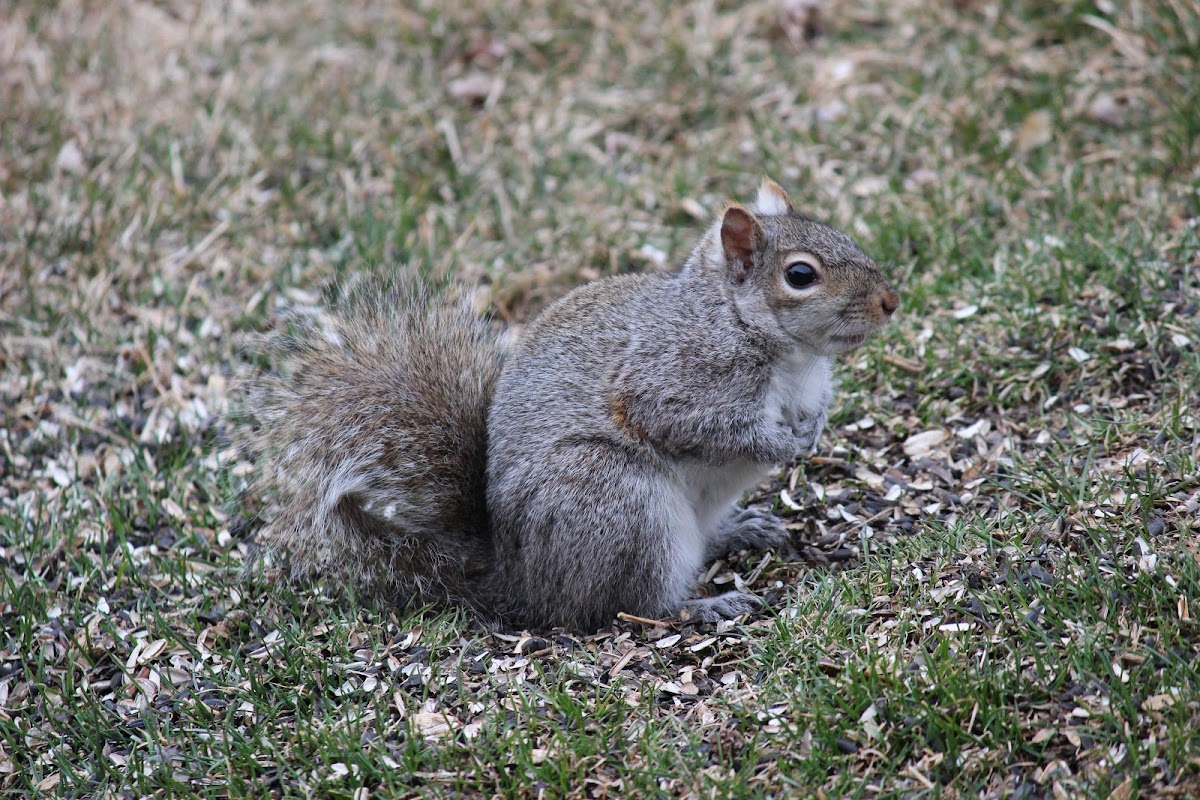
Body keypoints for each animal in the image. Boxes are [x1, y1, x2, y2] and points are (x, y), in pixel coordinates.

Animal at [234, 179, 897, 633]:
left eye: (846, 236)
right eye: (801, 275)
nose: (890, 301)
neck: (783, 353)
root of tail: (521, 580)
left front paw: (813, 428)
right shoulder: (673, 379)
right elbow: (700, 425)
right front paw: (781, 443)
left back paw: (744, 529)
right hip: (617, 500)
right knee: (632, 605)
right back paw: (707, 604)